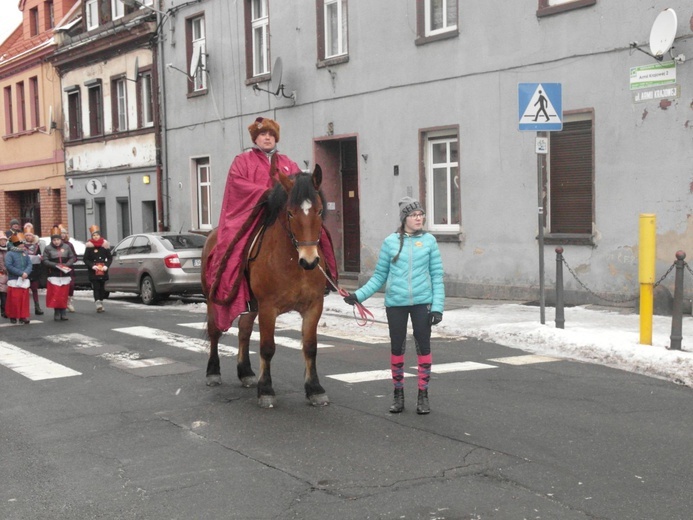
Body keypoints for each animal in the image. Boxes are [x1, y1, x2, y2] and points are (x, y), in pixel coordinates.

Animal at [201, 165, 328, 408]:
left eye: (318, 211)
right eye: (290, 213)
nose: (309, 261)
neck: (293, 262)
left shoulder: (314, 306)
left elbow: (310, 347)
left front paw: (315, 389)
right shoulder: (268, 307)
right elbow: (267, 347)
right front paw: (266, 390)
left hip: (251, 304)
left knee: (244, 330)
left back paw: (246, 372)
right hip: (213, 299)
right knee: (214, 331)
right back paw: (212, 372)